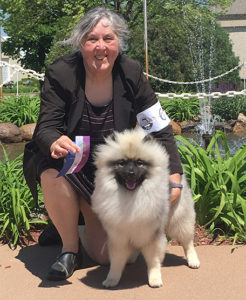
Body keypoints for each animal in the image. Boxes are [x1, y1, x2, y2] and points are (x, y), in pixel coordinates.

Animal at [91, 128, 200, 288]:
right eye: (122, 163)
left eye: (139, 163)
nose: (131, 173)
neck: (131, 196)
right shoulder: (119, 236)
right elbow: (116, 262)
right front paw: (112, 279)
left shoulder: (150, 235)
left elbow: (153, 261)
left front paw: (154, 279)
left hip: (179, 221)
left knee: (188, 242)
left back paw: (193, 260)